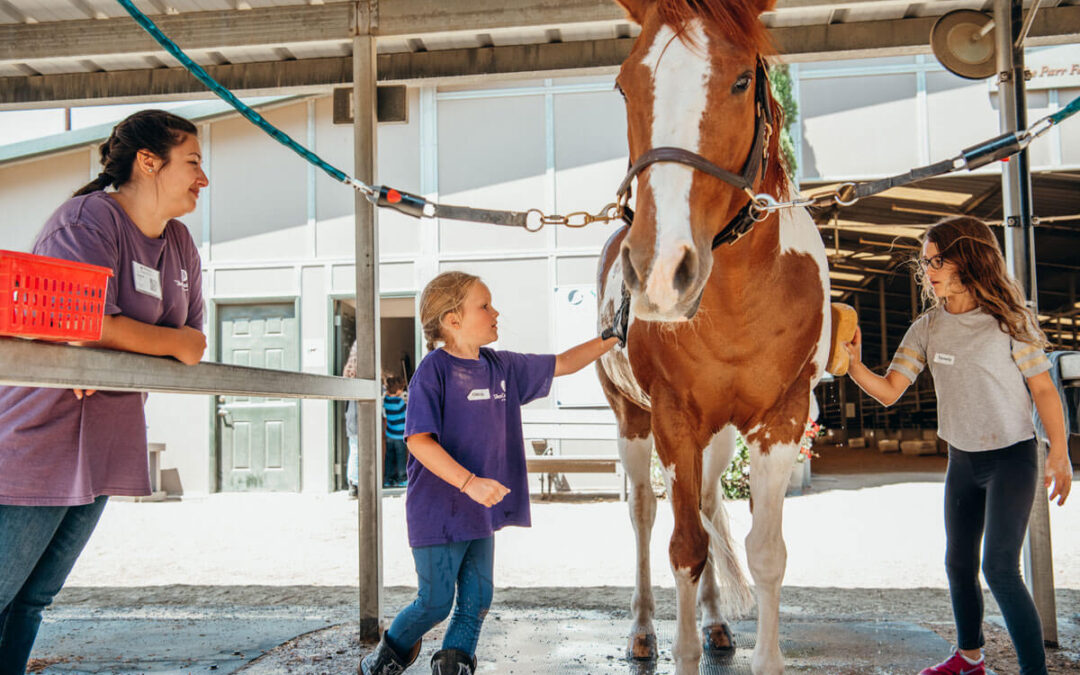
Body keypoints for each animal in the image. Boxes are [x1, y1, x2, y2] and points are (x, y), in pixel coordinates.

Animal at [596, 1, 834, 673]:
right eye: (625, 85)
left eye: (740, 80)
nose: (659, 270)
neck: (737, 304)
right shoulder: (674, 418)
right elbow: (684, 548)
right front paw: (680, 648)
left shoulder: (782, 419)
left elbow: (766, 552)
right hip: (633, 420)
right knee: (645, 514)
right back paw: (644, 631)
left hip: (720, 437)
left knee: (703, 506)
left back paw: (717, 624)